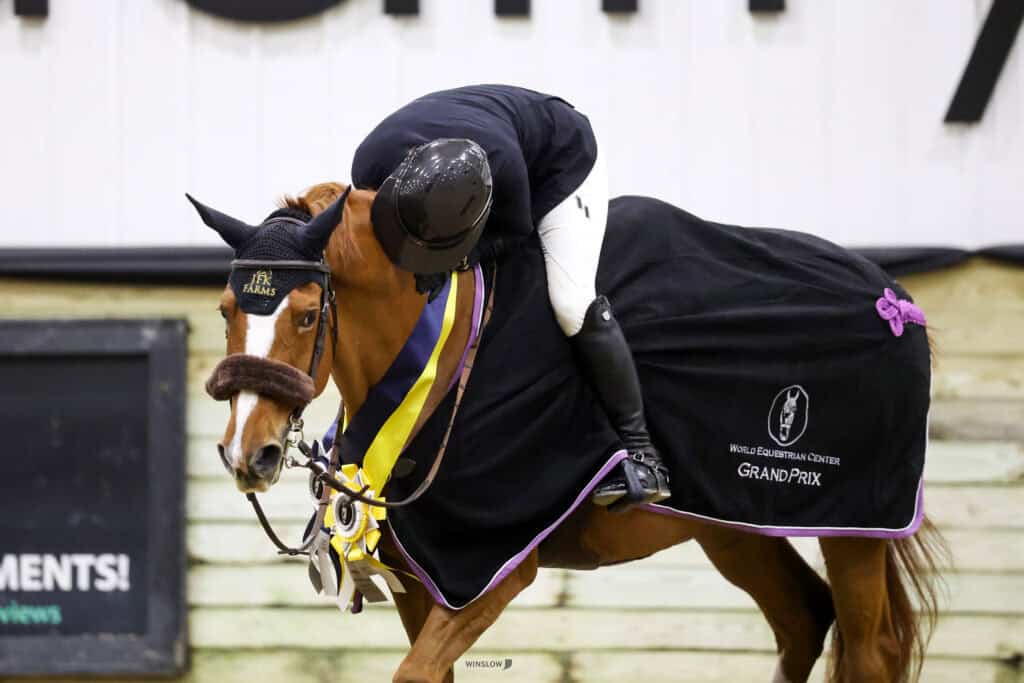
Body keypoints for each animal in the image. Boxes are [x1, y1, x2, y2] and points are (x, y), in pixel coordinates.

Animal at [195, 181, 946, 683]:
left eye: (305, 313)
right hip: (733, 524)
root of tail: (894, 299)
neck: (441, 362)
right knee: (802, 620)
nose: (247, 453)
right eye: (227, 308)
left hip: (853, 527)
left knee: (870, 650)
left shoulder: (493, 570)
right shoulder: (419, 577)